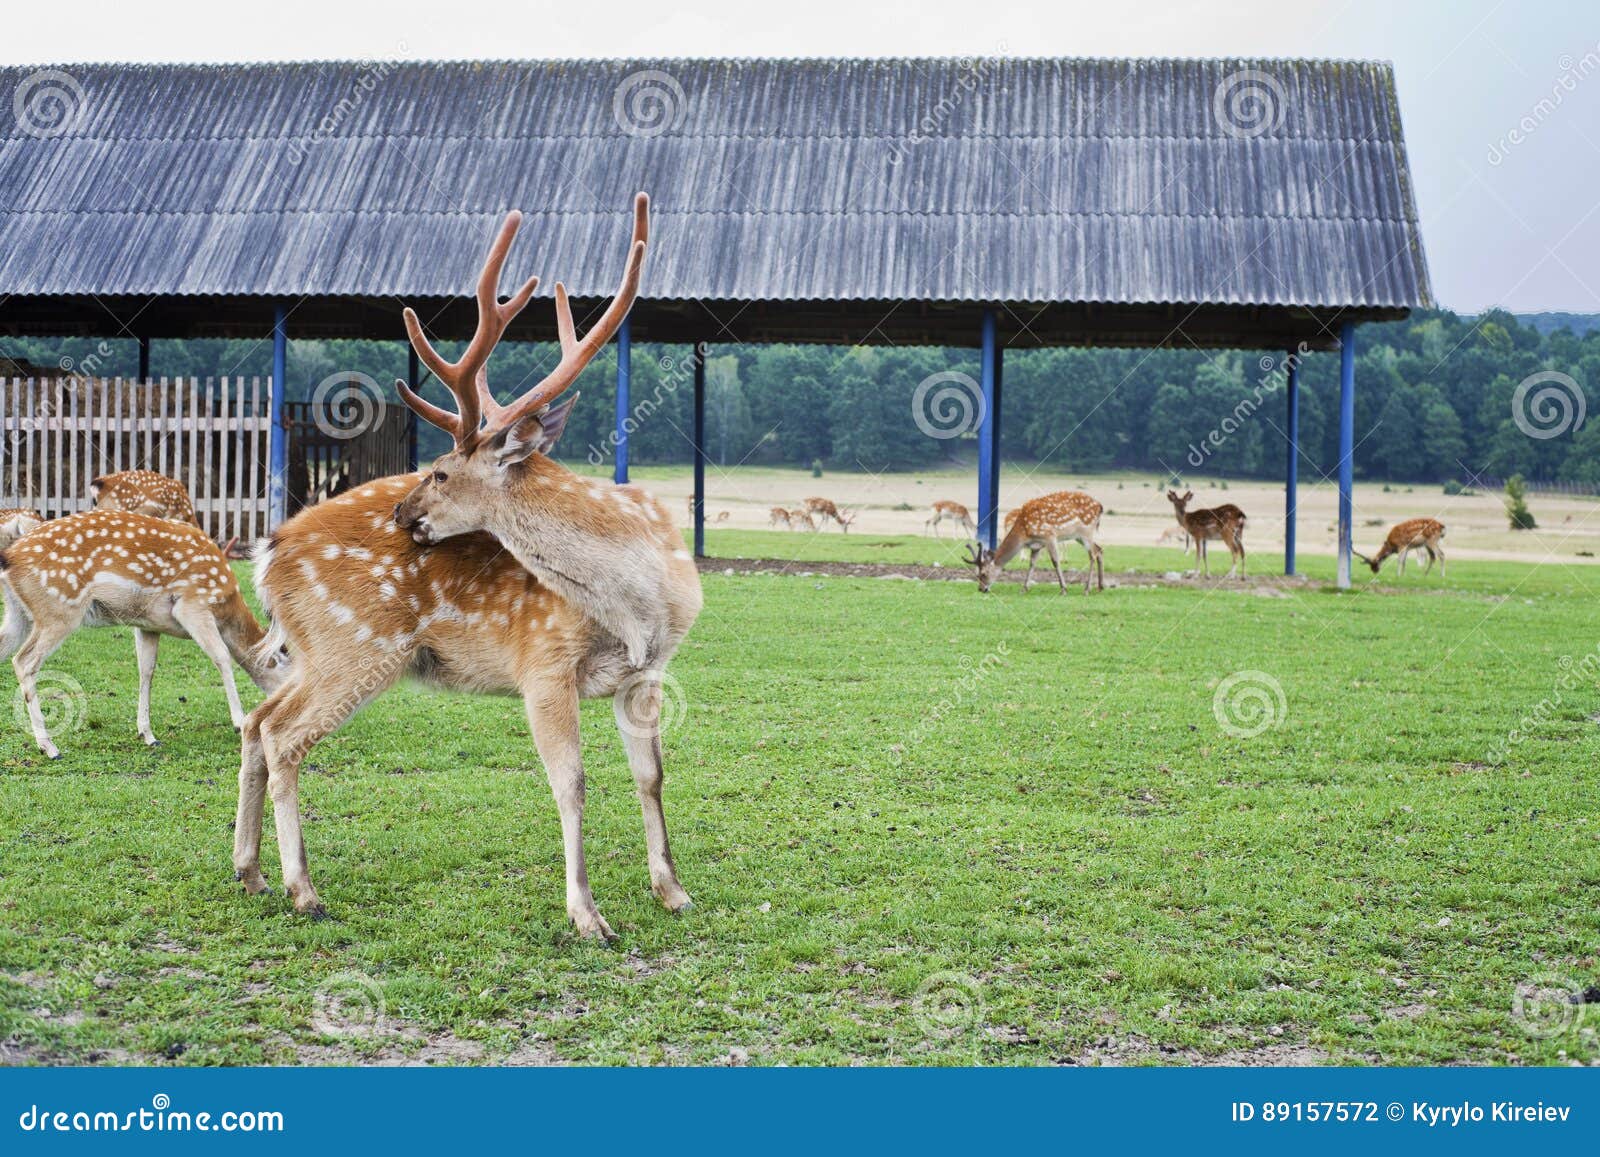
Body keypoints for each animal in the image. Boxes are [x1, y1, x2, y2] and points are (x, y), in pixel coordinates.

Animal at [0, 509, 290, 757]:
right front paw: (239, 722)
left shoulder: (147, 625)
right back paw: (49, 746)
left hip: (18, 615)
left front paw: (148, 734)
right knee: (24, 661)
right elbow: (221, 656)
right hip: (59, 609)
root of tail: (9, 559)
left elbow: (146, 670)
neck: (225, 608)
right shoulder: (192, 604)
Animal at [232, 194, 701, 940]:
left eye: (442, 471)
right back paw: (302, 889)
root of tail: (267, 554)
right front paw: (588, 915)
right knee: (282, 735)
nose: (401, 513)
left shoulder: (648, 671)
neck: (638, 604)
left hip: (315, 651)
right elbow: (570, 783)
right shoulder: (543, 660)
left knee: (256, 721)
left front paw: (673, 891)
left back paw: (248, 872)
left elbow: (651, 776)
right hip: (355, 645)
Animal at [965, 491, 1104, 594]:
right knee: (1099, 549)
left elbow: (1055, 561)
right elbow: (1032, 564)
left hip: (1086, 531)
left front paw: (1063, 589)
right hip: (1079, 536)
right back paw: (1100, 587)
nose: (981, 589)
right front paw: (1024, 588)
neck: (1024, 532)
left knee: (1092, 554)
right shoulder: (1036, 545)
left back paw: (1087, 589)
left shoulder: (1049, 536)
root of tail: (1100, 506)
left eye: (983, 574)